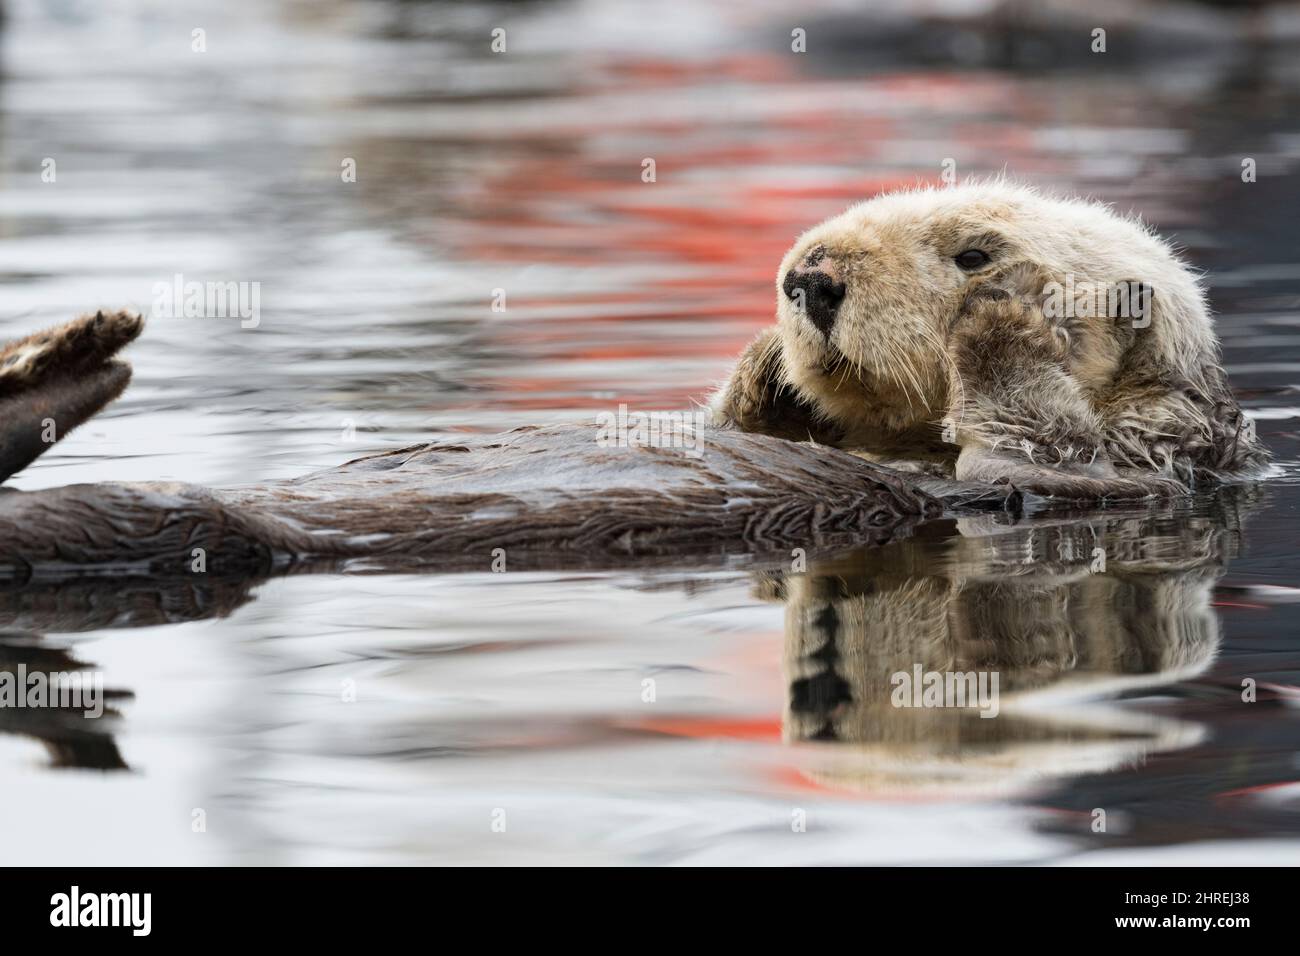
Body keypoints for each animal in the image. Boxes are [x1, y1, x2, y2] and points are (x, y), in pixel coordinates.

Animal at [712, 178, 1268, 502]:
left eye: (974, 256)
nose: (810, 278)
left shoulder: (1145, 458)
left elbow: (1033, 463)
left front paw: (1001, 324)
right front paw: (765, 366)